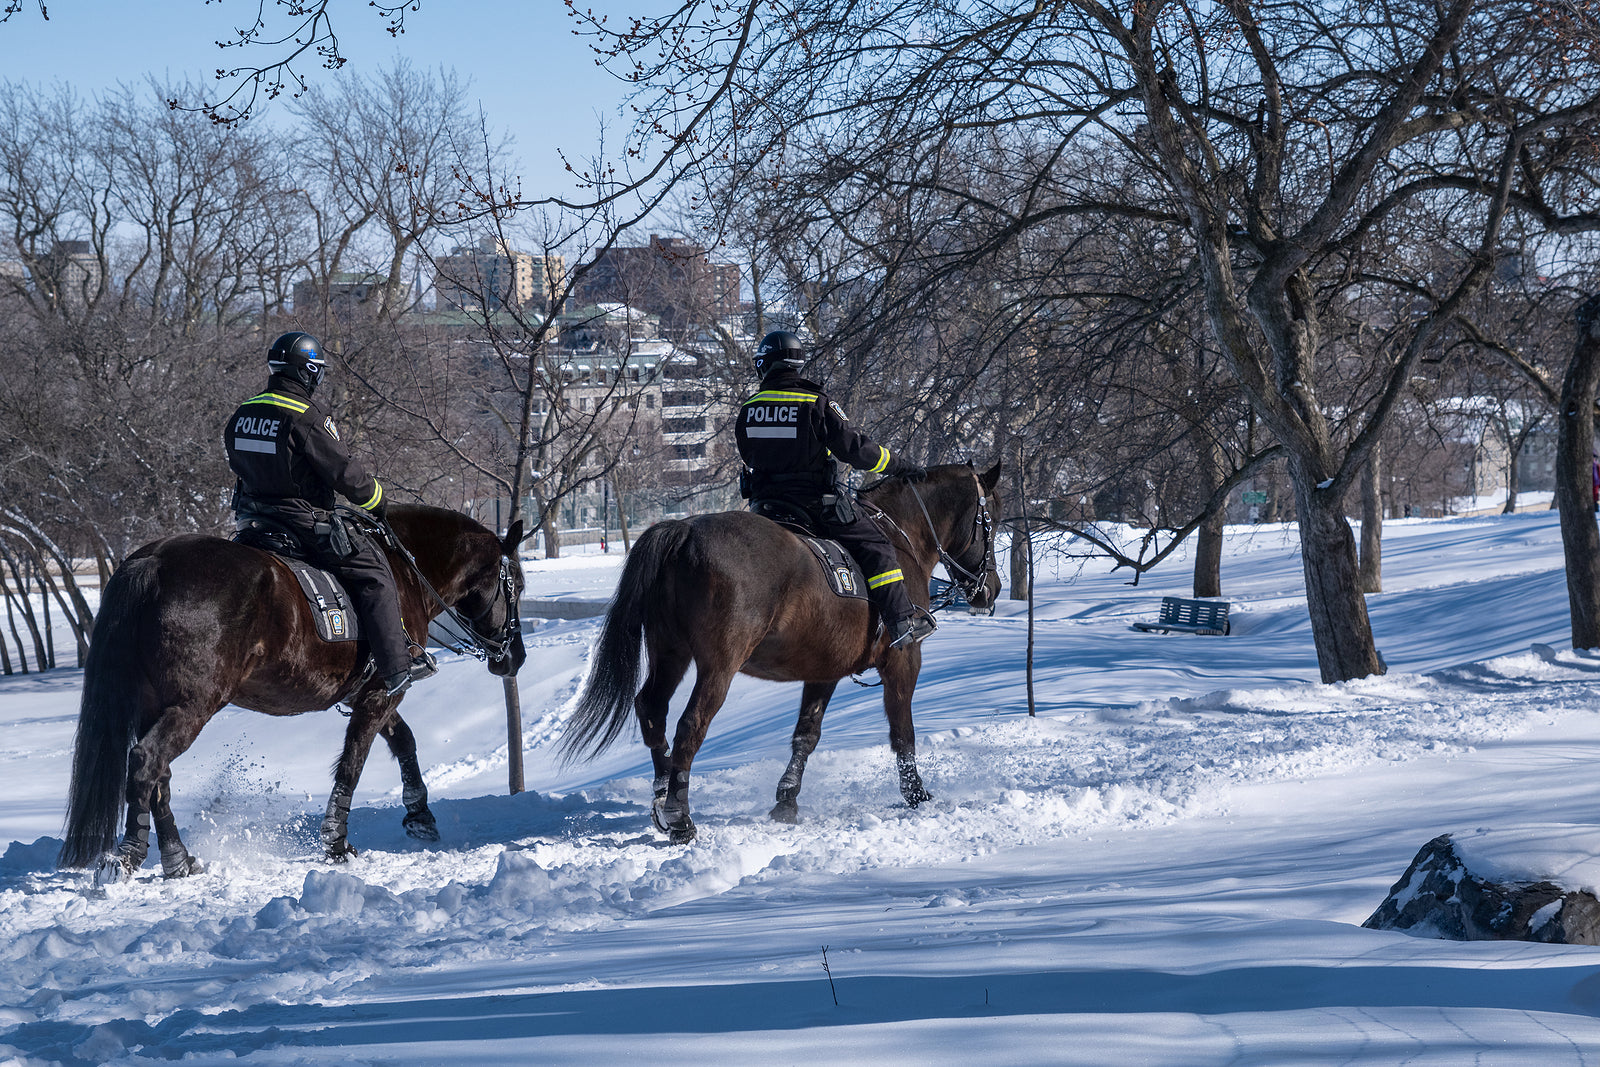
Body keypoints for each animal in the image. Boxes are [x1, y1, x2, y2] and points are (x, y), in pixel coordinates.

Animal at [58, 505, 524, 883]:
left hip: (153, 704)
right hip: (192, 705)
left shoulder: (372, 693)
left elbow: (403, 741)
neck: (404, 568)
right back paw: (128, 856)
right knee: (146, 762)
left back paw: (178, 859)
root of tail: (153, 561)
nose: (513, 657)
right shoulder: (381, 693)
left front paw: (420, 815)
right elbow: (353, 763)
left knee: (159, 778)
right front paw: (336, 844)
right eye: (516, 584)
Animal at [556, 463, 992, 844]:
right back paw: (680, 816)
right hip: (718, 665)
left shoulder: (823, 672)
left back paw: (663, 798)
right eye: (989, 519)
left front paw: (786, 800)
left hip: (670, 652)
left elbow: (806, 736)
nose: (990, 590)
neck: (902, 539)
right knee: (690, 725)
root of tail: (684, 530)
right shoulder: (903, 661)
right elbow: (903, 732)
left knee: (651, 710)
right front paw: (916, 793)